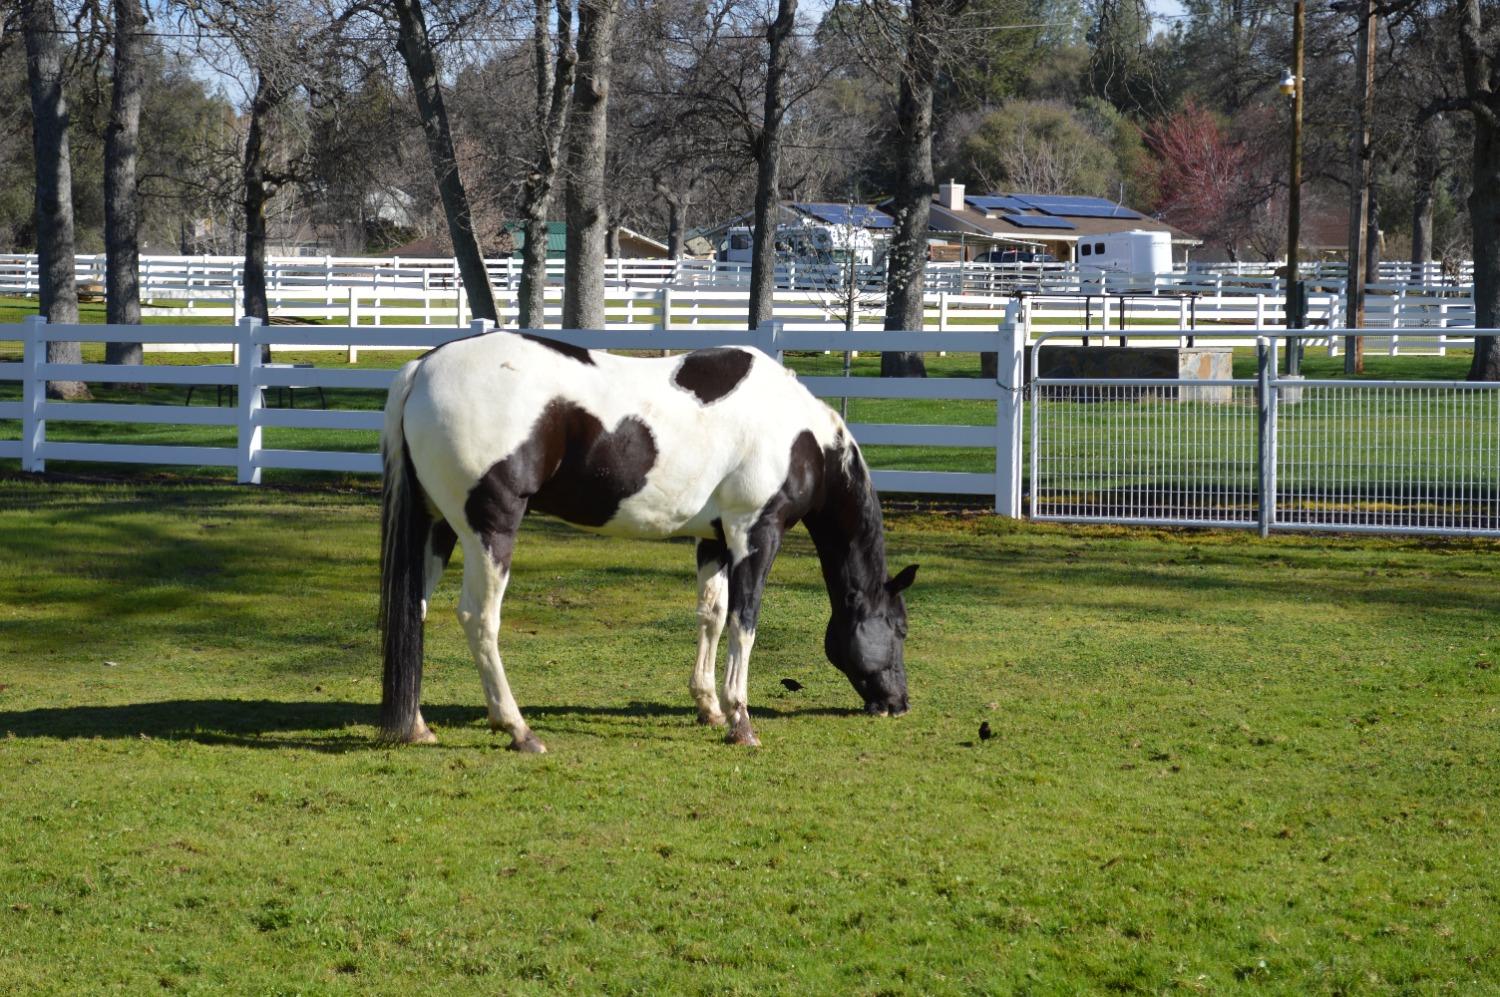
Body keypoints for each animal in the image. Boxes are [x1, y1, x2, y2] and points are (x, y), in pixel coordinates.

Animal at [378, 329, 912, 749]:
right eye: (901, 628)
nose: (899, 703)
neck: (801, 437)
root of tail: (423, 368)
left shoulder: (715, 540)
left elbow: (711, 616)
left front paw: (708, 708)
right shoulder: (755, 534)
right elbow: (743, 624)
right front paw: (740, 721)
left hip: (436, 528)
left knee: (414, 610)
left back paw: (418, 727)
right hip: (489, 530)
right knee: (479, 618)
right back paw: (518, 729)